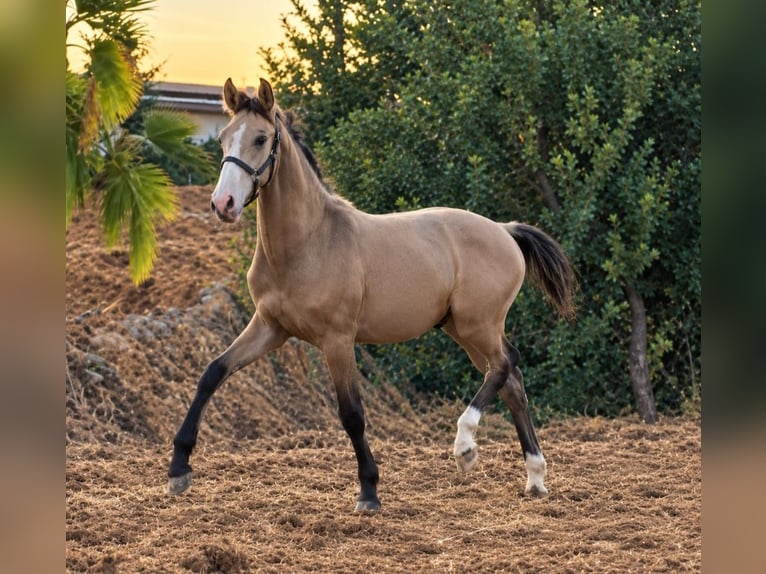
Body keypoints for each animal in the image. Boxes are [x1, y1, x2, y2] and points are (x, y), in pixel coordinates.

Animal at [167, 78, 576, 512]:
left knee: (504, 365)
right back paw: (534, 477)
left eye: (261, 139)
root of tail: (505, 230)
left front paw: (369, 492)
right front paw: (178, 470)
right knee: (511, 380)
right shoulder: (270, 327)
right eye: (224, 138)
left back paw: (465, 447)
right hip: (462, 329)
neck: (307, 242)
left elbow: (352, 414)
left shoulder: (337, 339)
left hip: (477, 325)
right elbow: (212, 374)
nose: (222, 204)